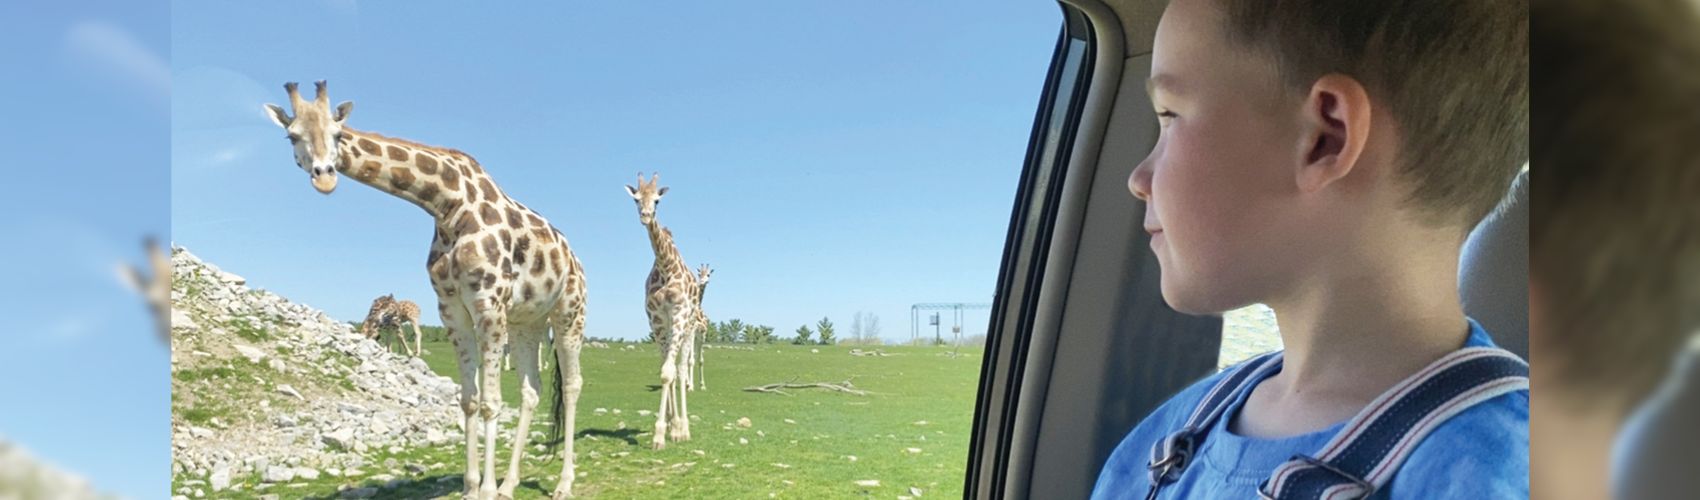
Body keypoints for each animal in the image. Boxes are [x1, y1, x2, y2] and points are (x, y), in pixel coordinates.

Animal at [264, 81, 587, 500]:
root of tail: (574, 258)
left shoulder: (488, 304)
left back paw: (563, 483)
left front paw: (485, 489)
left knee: (573, 384)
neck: (447, 206)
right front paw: (473, 487)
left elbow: (490, 403)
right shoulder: (451, 309)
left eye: (338, 133)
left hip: (569, 313)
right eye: (292, 135)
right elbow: (468, 401)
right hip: (526, 323)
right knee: (531, 389)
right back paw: (510, 484)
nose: (325, 176)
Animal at [626, 173, 698, 449]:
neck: (666, 267)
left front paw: (664, 434)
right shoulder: (655, 320)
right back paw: (675, 426)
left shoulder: (678, 315)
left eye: (657, 200)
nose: (645, 216)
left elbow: (669, 373)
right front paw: (666, 428)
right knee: (673, 367)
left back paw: (684, 429)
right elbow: (663, 371)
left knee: (681, 369)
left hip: (689, 329)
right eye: (636, 199)